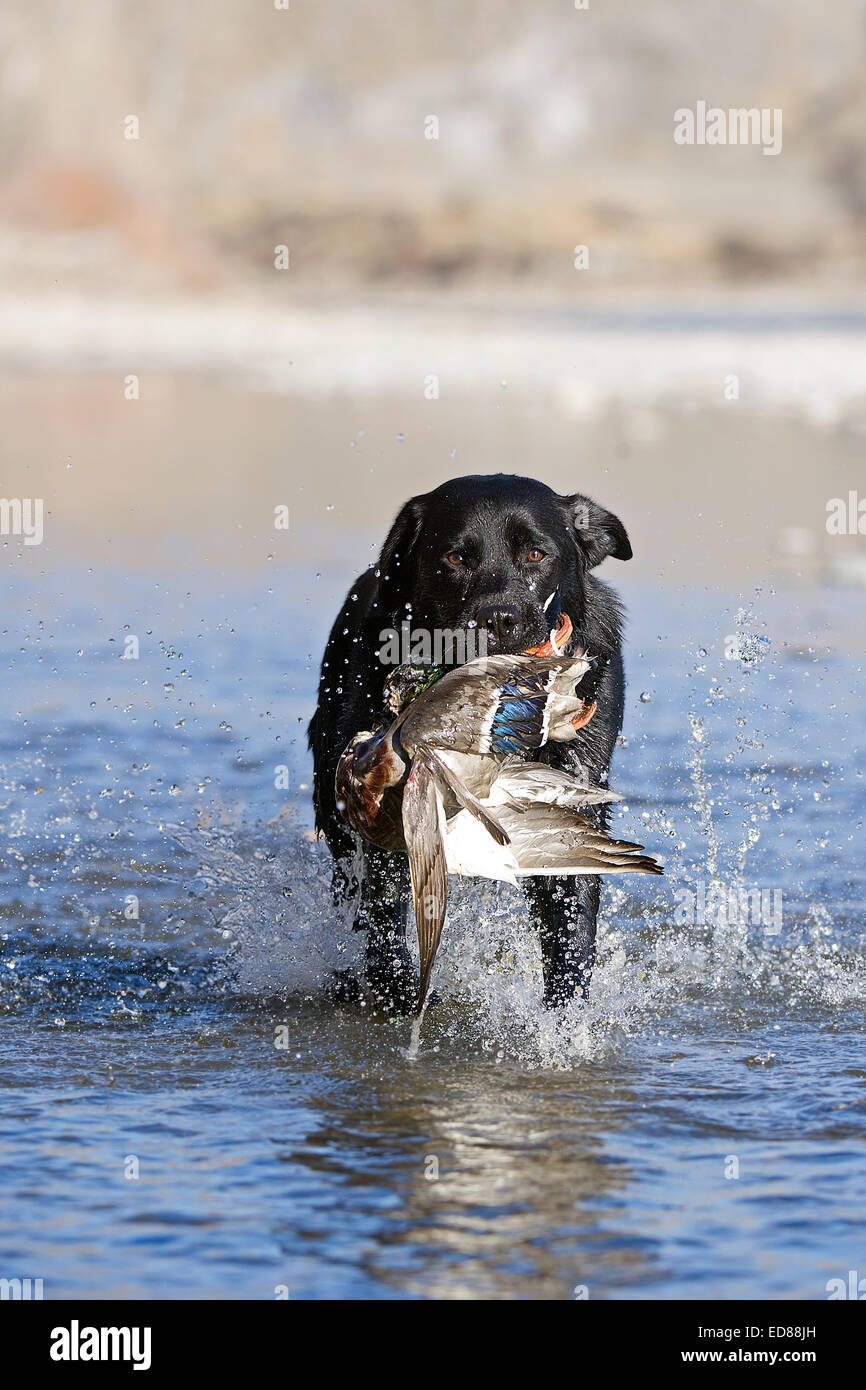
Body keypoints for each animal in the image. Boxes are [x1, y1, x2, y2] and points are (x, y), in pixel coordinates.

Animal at [308, 475, 633, 1011]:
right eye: (456, 558)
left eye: (536, 553)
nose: (499, 619)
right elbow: (383, 912)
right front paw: (396, 989)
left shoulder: (573, 808)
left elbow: (570, 932)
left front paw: (564, 1020)